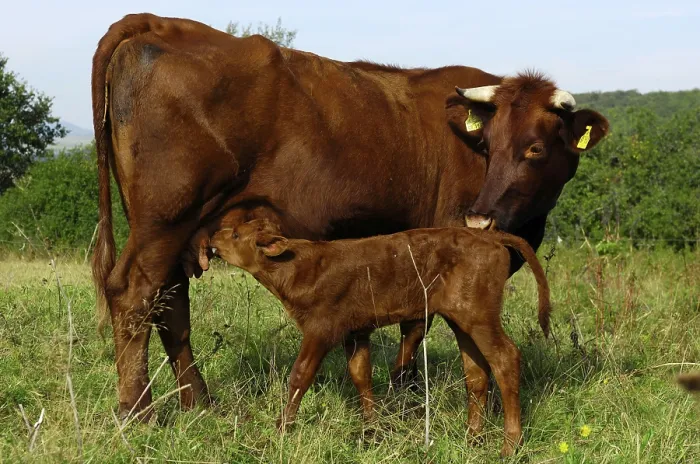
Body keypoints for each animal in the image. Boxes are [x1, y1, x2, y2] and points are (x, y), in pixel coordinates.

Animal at [91, 13, 609, 420]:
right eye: (487, 144)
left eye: (535, 148)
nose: (480, 220)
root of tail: (158, 22)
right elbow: (417, 322)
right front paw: (405, 392)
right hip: (166, 218)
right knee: (134, 295)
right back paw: (138, 412)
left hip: (174, 229)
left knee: (171, 305)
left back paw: (198, 403)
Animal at [207, 218, 551, 457]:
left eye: (236, 235)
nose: (212, 236)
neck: (296, 267)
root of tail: (487, 235)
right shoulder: (355, 331)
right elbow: (361, 375)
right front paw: (371, 430)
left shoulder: (321, 327)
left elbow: (300, 375)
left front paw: (281, 428)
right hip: (461, 318)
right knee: (476, 372)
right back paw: (473, 438)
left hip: (479, 314)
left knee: (505, 358)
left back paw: (510, 445)